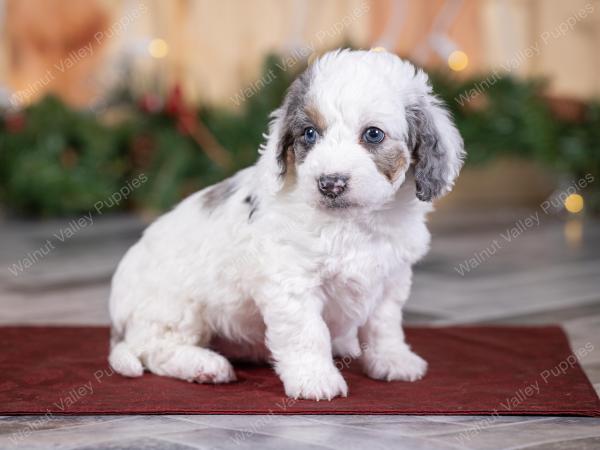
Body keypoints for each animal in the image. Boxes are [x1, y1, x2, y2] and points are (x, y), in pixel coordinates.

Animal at [109, 49, 464, 400]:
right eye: (309, 133)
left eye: (373, 134)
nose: (330, 183)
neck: (352, 222)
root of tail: (117, 322)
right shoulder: (292, 282)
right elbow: (307, 332)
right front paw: (315, 379)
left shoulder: (391, 279)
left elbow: (384, 325)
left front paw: (393, 360)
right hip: (175, 309)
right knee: (154, 349)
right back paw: (205, 365)